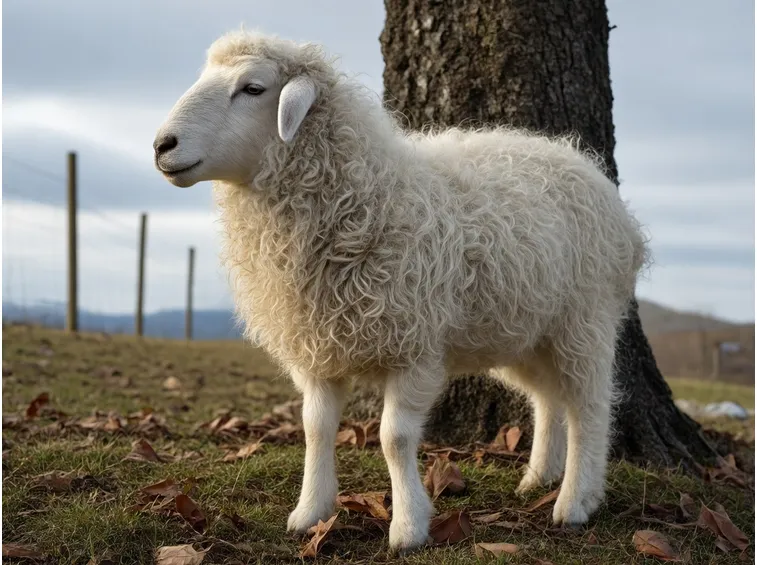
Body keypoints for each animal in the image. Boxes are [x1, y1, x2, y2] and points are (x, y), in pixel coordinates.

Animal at [153, 29, 650, 553]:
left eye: (252, 88)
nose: (162, 145)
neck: (366, 195)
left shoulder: (415, 347)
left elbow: (394, 438)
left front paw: (409, 526)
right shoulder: (319, 345)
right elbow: (315, 428)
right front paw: (310, 512)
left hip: (585, 320)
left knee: (589, 407)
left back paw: (576, 500)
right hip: (527, 331)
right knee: (549, 400)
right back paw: (538, 478)